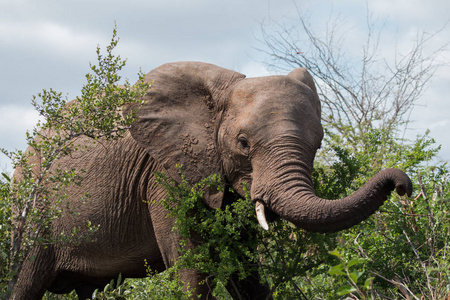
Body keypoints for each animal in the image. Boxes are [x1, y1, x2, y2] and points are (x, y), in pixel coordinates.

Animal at [10, 60, 414, 298]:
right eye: (243, 143)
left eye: (319, 143)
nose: (403, 186)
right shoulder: (164, 172)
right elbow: (193, 269)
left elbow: (245, 270)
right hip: (31, 210)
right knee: (25, 280)